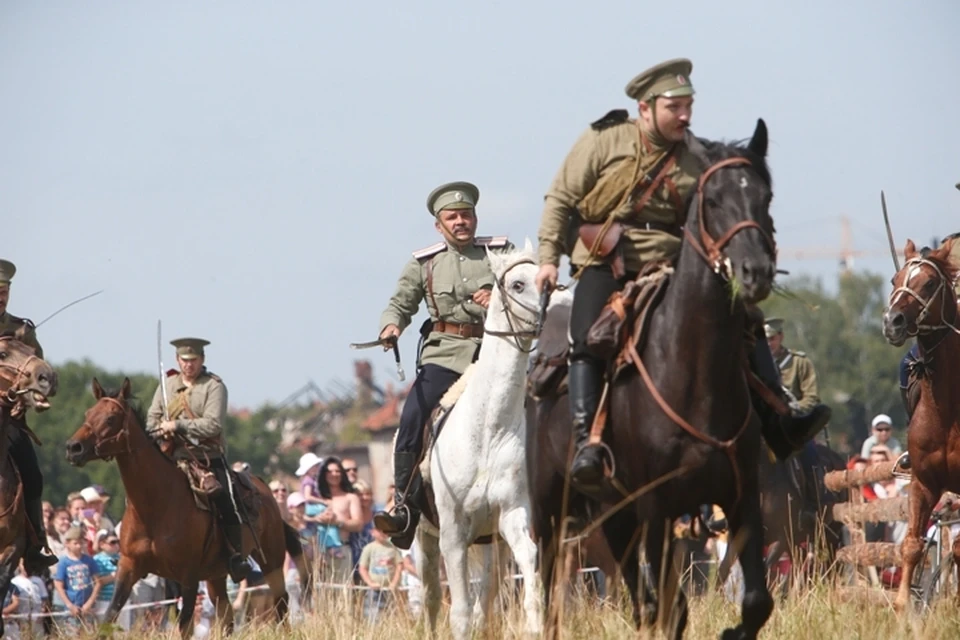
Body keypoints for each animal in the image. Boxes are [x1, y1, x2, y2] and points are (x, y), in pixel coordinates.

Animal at [63, 378, 310, 636]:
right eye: (88, 413)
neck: (154, 507)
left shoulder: (188, 577)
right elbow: (109, 616)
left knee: (281, 603)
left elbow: (184, 625)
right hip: (216, 575)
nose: (73, 447)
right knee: (227, 614)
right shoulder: (129, 567)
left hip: (271, 561)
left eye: (111, 418)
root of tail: (266, 493)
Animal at [414, 241, 564, 640]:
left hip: (489, 544)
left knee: (486, 595)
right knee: (431, 596)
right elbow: (459, 611)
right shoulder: (451, 534)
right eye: (517, 284)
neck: (487, 430)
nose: (552, 317)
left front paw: (534, 625)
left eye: (548, 280)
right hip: (424, 537)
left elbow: (529, 569)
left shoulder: (512, 515)